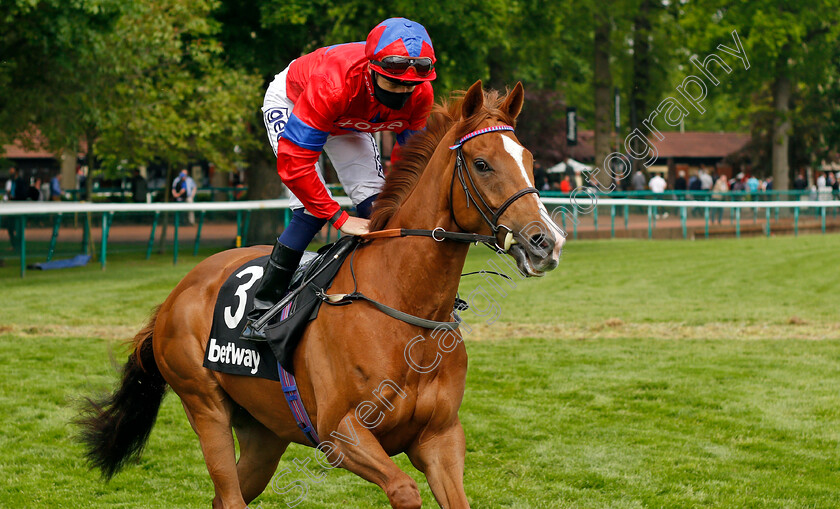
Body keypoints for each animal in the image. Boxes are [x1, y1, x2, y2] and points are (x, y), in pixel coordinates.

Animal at [79, 80, 564, 508]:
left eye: (530, 159)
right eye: (482, 164)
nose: (546, 241)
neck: (404, 306)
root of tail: (175, 295)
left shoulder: (440, 436)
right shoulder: (340, 433)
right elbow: (404, 490)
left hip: (264, 432)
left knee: (225, 495)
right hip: (205, 406)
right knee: (228, 494)